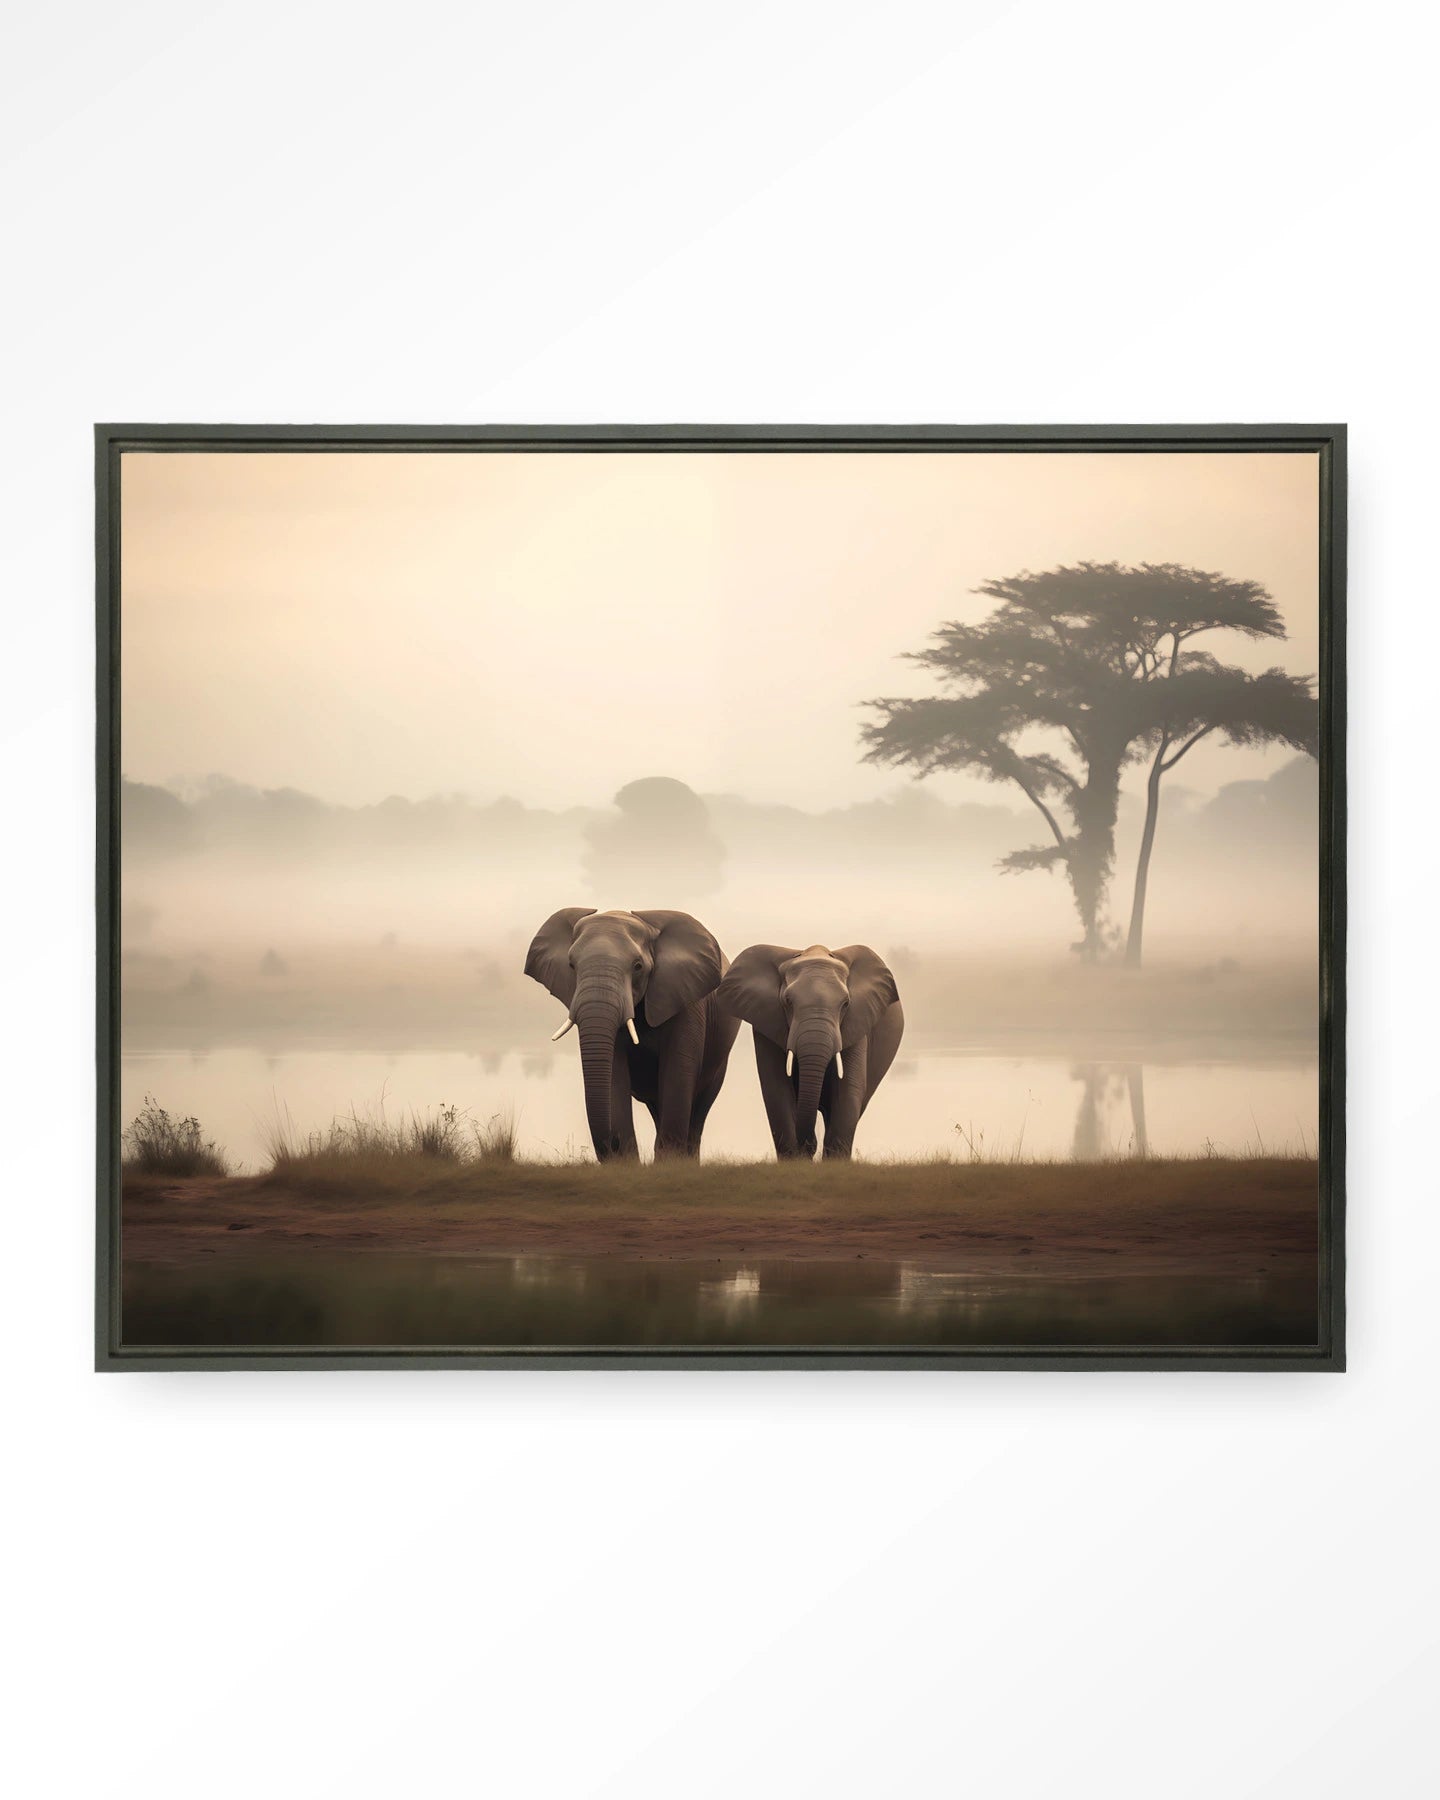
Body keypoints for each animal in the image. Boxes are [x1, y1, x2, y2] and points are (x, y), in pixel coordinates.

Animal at [524, 907, 740, 1161]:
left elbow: (677, 1073)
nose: (613, 1143)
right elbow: (614, 1075)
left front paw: (669, 1163)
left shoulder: (687, 1002)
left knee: (698, 1112)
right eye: (571, 965)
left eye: (638, 966)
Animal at [715, 943, 903, 1160]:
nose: (809, 1144)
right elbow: (776, 1088)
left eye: (846, 1004)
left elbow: (848, 1088)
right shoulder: (766, 1023)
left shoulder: (857, 1021)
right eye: (788, 1001)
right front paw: (796, 1160)